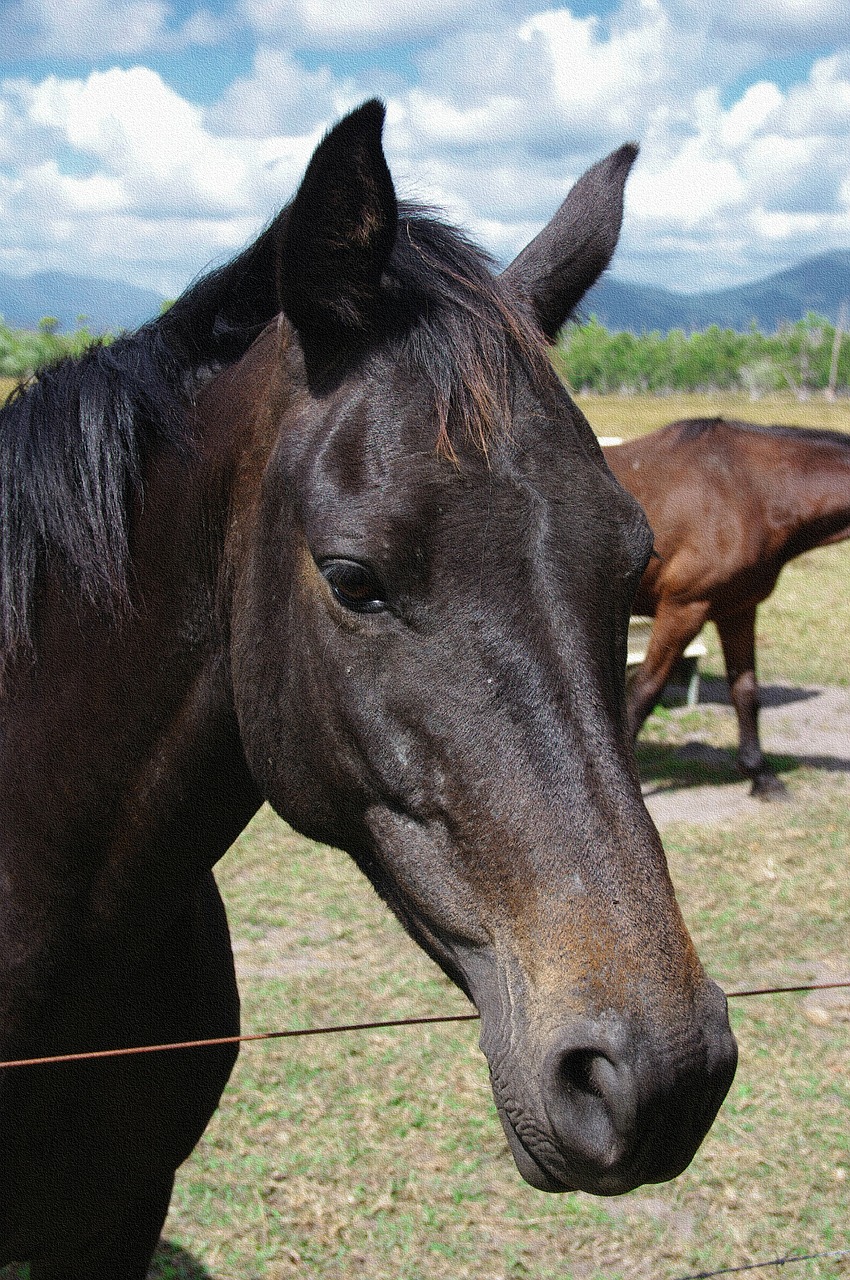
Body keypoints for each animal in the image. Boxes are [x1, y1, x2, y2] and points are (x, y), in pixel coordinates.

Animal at [604, 417, 850, 798]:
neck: (749, 491)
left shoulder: (737, 609)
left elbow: (745, 690)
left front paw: (761, 775)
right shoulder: (683, 609)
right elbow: (645, 689)